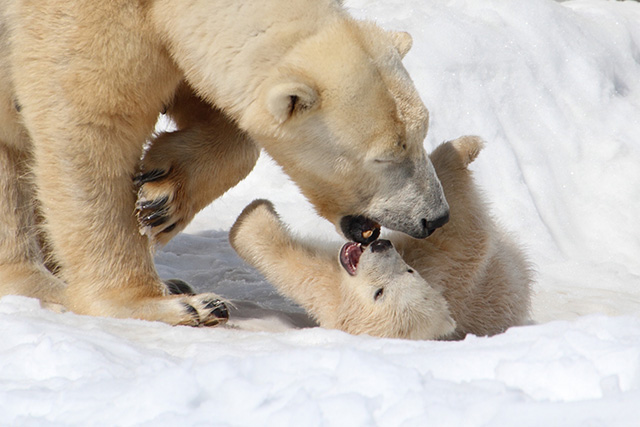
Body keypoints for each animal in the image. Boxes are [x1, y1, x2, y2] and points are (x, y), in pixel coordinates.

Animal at [0, 0, 450, 326]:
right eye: (386, 155)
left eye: (422, 132)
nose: (436, 217)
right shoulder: (81, 23)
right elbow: (90, 128)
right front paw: (163, 305)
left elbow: (212, 104)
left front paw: (163, 197)